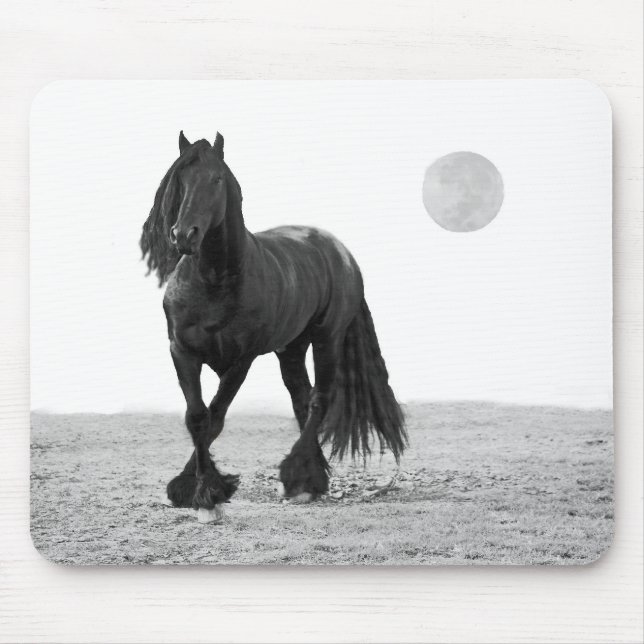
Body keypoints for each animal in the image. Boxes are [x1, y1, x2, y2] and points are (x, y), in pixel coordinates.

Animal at [140, 131, 407, 523]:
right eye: (180, 181)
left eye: (215, 179)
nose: (183, 235)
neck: (214, 280)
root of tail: (339, 251)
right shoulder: (182, 352)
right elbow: (197, 418)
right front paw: (192, 490)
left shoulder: (241, 361)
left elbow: (215, 417)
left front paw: (208, 495)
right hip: (291, 349)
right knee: (301, 399)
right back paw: (311, 477)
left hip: (326, 340)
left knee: (318, 400)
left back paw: (300, 480)